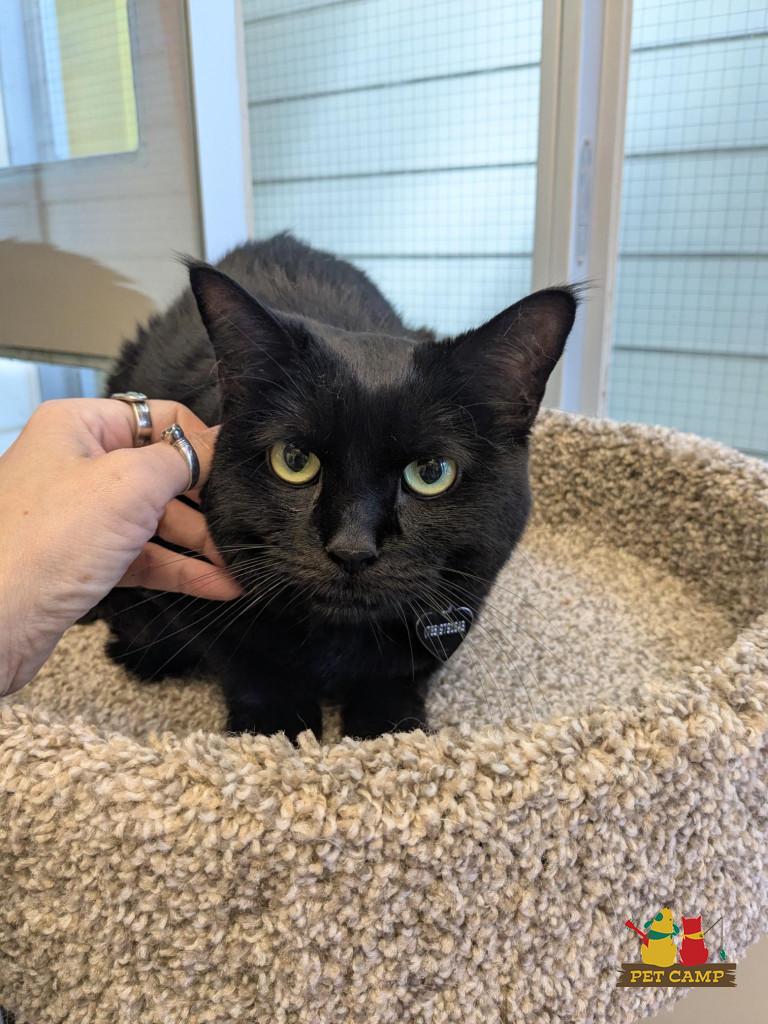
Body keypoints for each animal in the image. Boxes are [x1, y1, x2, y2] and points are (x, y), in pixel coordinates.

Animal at [102, 233, 576, 741]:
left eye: (431, 472)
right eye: (294, 460)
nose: (352, 549)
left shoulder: (457, 607)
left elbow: (395, 683)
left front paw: (391, 734)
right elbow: (250, 668)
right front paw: (271, 733)